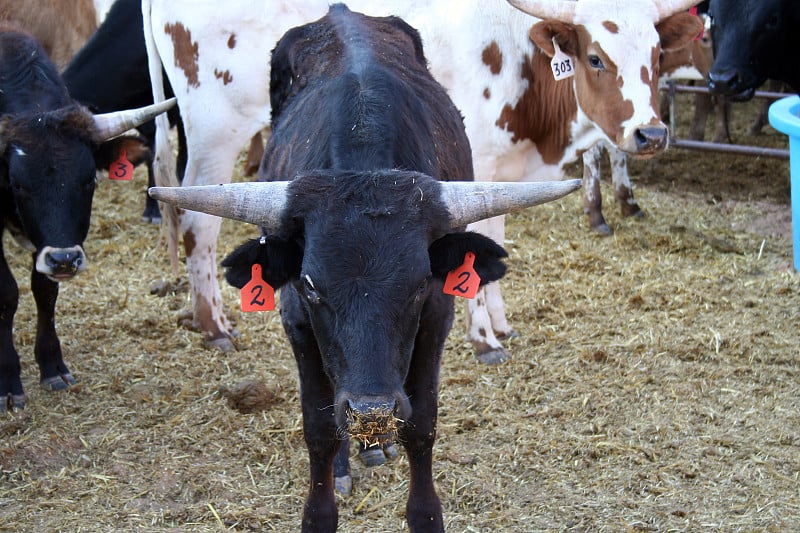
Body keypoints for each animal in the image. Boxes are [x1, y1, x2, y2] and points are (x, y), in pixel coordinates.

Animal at [0, 26, 175, 412]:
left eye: (89, 180)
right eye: (17, 184)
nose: (65, 260)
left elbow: (44, 289)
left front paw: (52, 365)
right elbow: (6, 292)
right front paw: (7, 381)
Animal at [148, 5, 576, 532]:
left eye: (418, 285)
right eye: (312, 286)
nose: (372, 408)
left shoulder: (436, 318)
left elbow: (421, 423)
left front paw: (424, 511)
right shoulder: (298, 321)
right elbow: (320, 426)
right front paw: (323, 505)